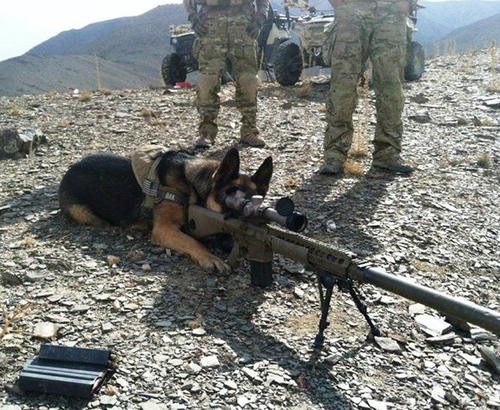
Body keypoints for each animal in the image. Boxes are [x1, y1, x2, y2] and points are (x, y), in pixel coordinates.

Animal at [58, 149, 274, 274]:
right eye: (227, 209)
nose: (234, 246)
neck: (191, 187)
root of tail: (70, 168)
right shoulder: (164, 229)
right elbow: (192, 241)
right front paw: (211, 258)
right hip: (83, 213)